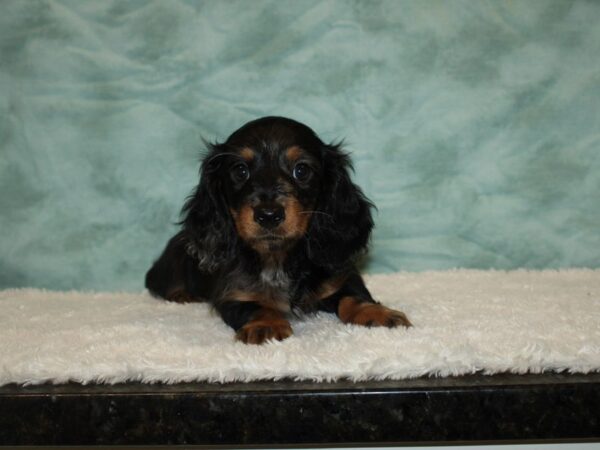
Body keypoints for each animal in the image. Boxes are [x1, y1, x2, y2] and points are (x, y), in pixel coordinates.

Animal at [144, 116, 412, 344]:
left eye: (301, 170)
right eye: (240, 170)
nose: (268, 215)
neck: (277, 258)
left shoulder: (340, 277)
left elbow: (353, 297)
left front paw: (378, 313)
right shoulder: (234, 293)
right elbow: (255, 306)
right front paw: (266, 325)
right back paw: (182, 295)